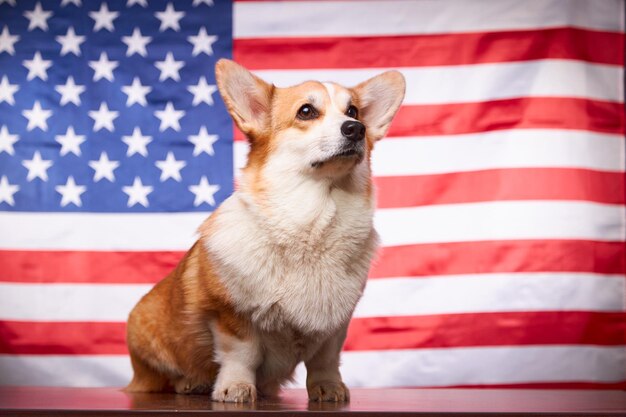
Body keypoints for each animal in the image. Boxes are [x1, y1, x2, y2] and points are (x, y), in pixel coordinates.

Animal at [127, 60, 404, 402]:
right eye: (306, 111)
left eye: (353, 111)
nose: (356, 129)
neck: (311, 220)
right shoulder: (232, 315)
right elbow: (242, 354)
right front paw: (235, 387)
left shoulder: (335, 324)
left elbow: (325, 360)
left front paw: (328, 387)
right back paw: (191, 382)